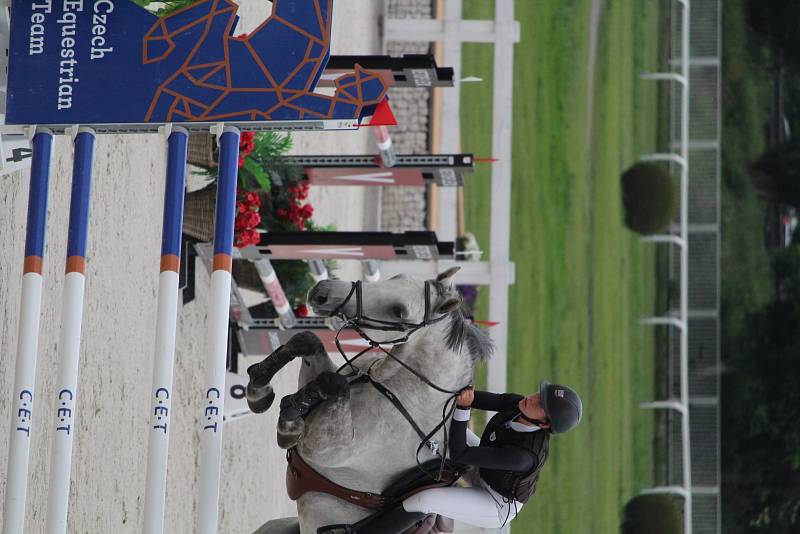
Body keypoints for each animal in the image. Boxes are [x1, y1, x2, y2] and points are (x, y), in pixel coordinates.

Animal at [247, 270, 490, 532]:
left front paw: (288, 423)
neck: (393, 389)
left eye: (398, 311)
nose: (322, 293)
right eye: (396, 277)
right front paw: (259, 391)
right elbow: (308, 341)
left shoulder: (320, 448)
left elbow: (333, 384)